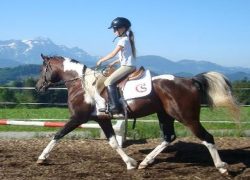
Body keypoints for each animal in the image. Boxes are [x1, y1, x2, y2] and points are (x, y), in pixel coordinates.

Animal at [34, 54, 239, 174]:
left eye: (43, 69)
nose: (38, 87)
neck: (82, 85)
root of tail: (190, 81)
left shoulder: (79, 117)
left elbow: (58, 134)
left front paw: (42, 158)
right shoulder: (102, 119)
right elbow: (113, 142)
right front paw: (131, 163)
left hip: (187, 117)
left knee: (207, 137)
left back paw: (222, 167)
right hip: (165, 115)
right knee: (169, 137)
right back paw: (146, 162)